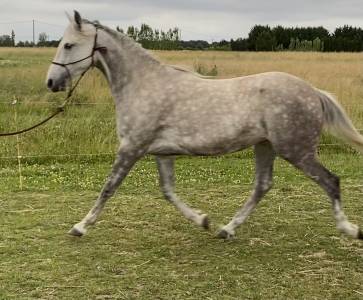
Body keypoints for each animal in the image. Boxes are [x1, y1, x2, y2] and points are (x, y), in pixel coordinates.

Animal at [46, 11, 363, 240]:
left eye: (69, 45)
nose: (51, 82)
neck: (141, 84)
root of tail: (313, 92)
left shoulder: (131, 148)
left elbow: (109, 187)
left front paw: (80, 226)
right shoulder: (161, 153)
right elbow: (168, 191)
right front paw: (203, 220)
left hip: (296, 150)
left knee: (330, 181)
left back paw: (349, 230)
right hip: (265, 146)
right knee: (263, 185)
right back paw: (226, 229)